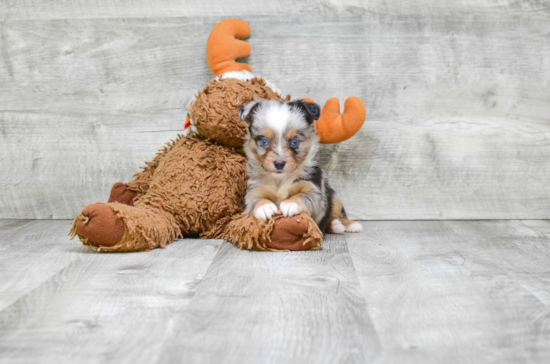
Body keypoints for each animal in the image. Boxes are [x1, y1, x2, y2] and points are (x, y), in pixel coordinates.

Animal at [240, 99, 362, 233]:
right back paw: (336, 225)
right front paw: (264, 206)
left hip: (334, 197)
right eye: (264, 141)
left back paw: (348, 225)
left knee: (337, 215)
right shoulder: (255, 190)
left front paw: (290, 204)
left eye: (294, 141)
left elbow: (302, 196)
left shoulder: (314, 192)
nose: (279, 164)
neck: (280, 179)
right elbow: (255, 200)